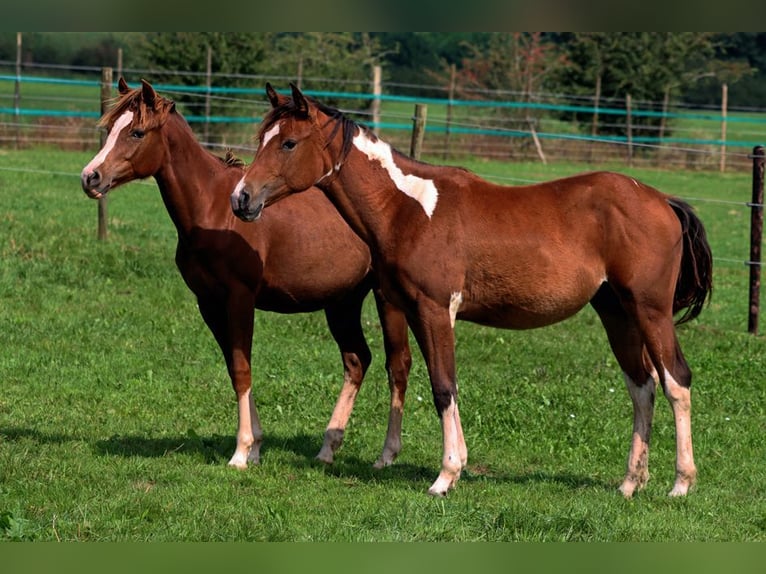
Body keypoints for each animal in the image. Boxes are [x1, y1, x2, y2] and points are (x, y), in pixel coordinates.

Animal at [80, 76, 414, 472]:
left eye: (136, 132)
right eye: (111, 128)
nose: (90, 177)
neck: (213, 211)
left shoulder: (239, 299)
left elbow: (242, 370)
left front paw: (241, 452)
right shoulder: (209, 303)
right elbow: (235, 367)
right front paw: (254, 447)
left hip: (386, 300)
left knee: (397, 366)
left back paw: (386, 454)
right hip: (342, 302)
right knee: (357, 360)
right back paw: (327, 448)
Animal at [231, 82, 716, 500]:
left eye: (288, 143)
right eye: (262, 138)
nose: (242, 198)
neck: (407, 207)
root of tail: (661, 200)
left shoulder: (435, 310)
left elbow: (444, 387)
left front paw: (446, 476)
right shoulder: (413, 312)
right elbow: (435, 382)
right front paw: (452, 466)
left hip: (650, 311)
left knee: (676, 381)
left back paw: (681, 483)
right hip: (617, 312)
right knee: (642, 386)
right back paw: (631, 483)